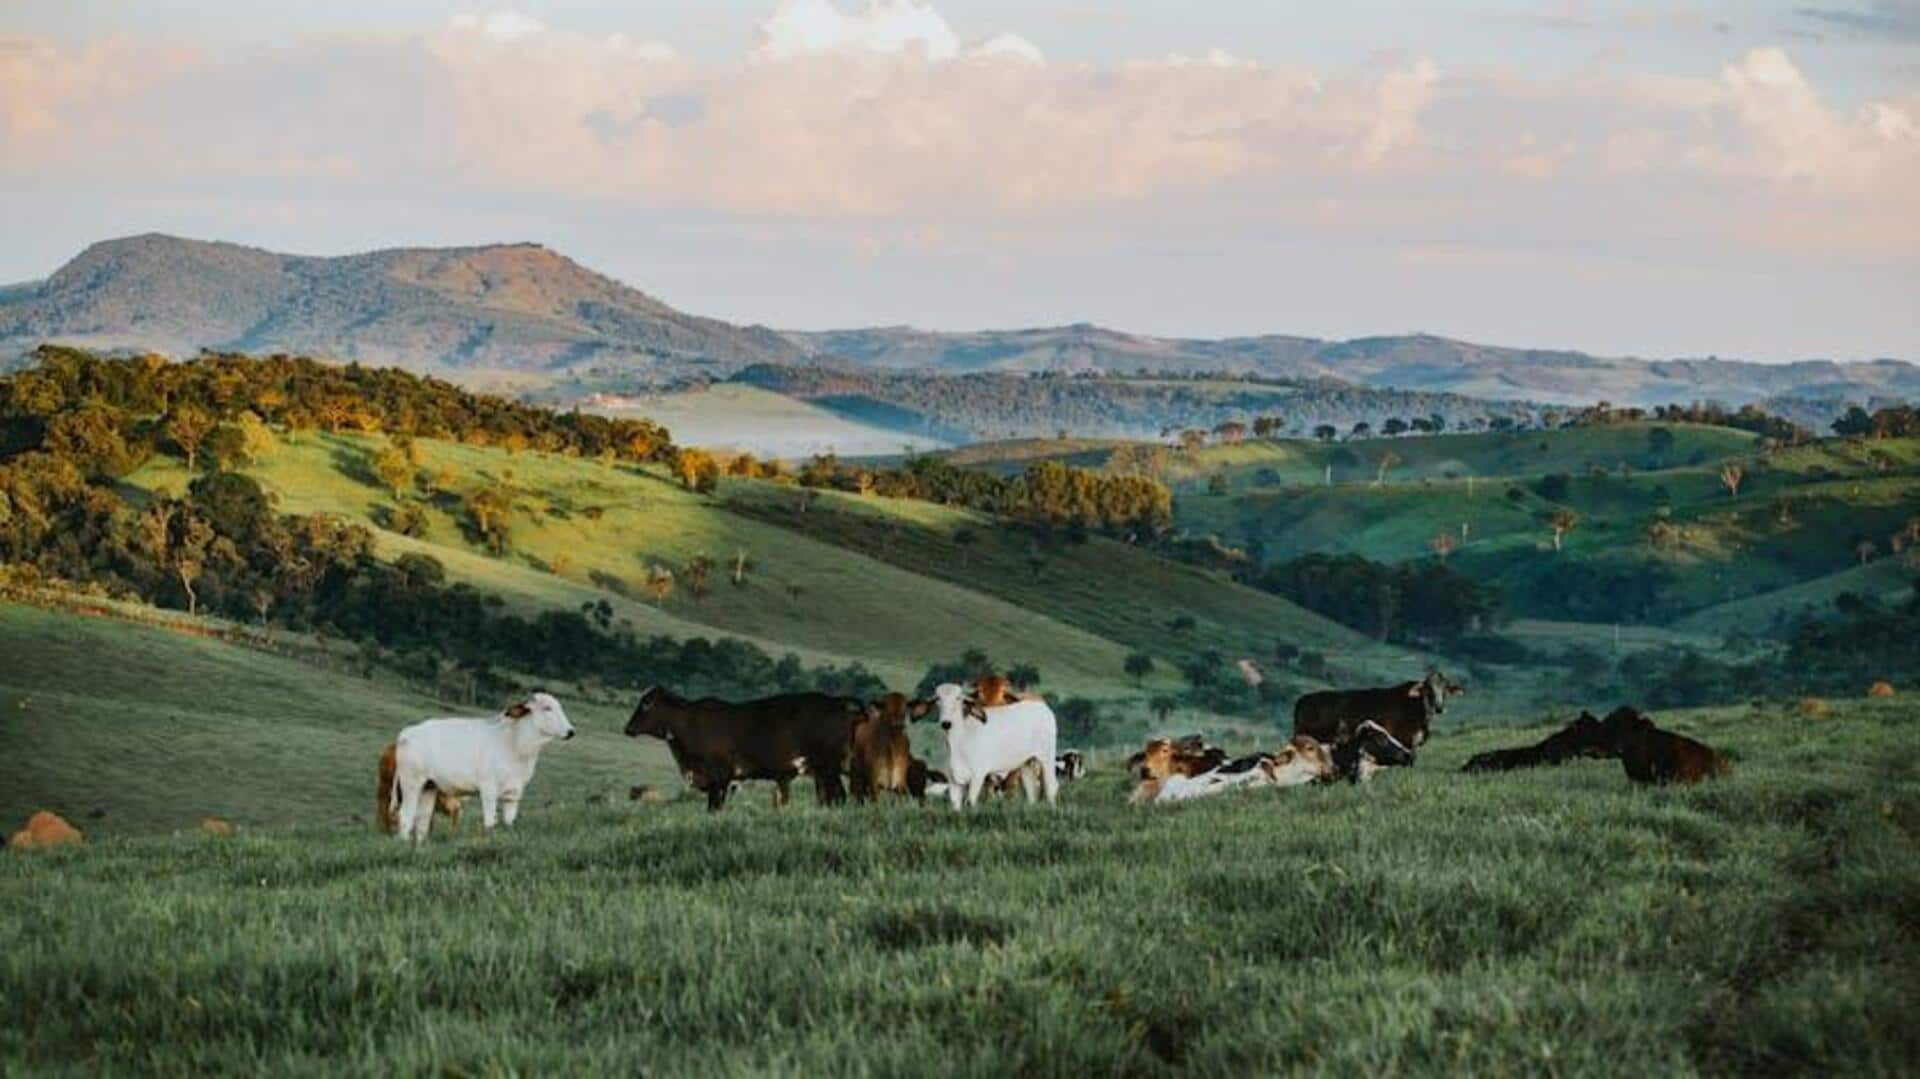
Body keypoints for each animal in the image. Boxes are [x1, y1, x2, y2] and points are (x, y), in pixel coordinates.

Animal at [385, 687, 572, 840]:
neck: (515, 745)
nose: (571, 731)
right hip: (411, 784)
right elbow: (489, 822)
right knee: (405, 816)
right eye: (547, 707)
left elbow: (509, 822)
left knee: (422, 820)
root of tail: (407, 733)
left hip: (429, 787)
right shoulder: (488, 789)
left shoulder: (513, 794)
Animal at [622, 687, 864, 806]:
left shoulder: (719, 778)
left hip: (829, 768)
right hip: (823, 772)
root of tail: (837, 702)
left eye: (646, 704)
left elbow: (714, 807)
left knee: (839, 798)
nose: (628, 728)